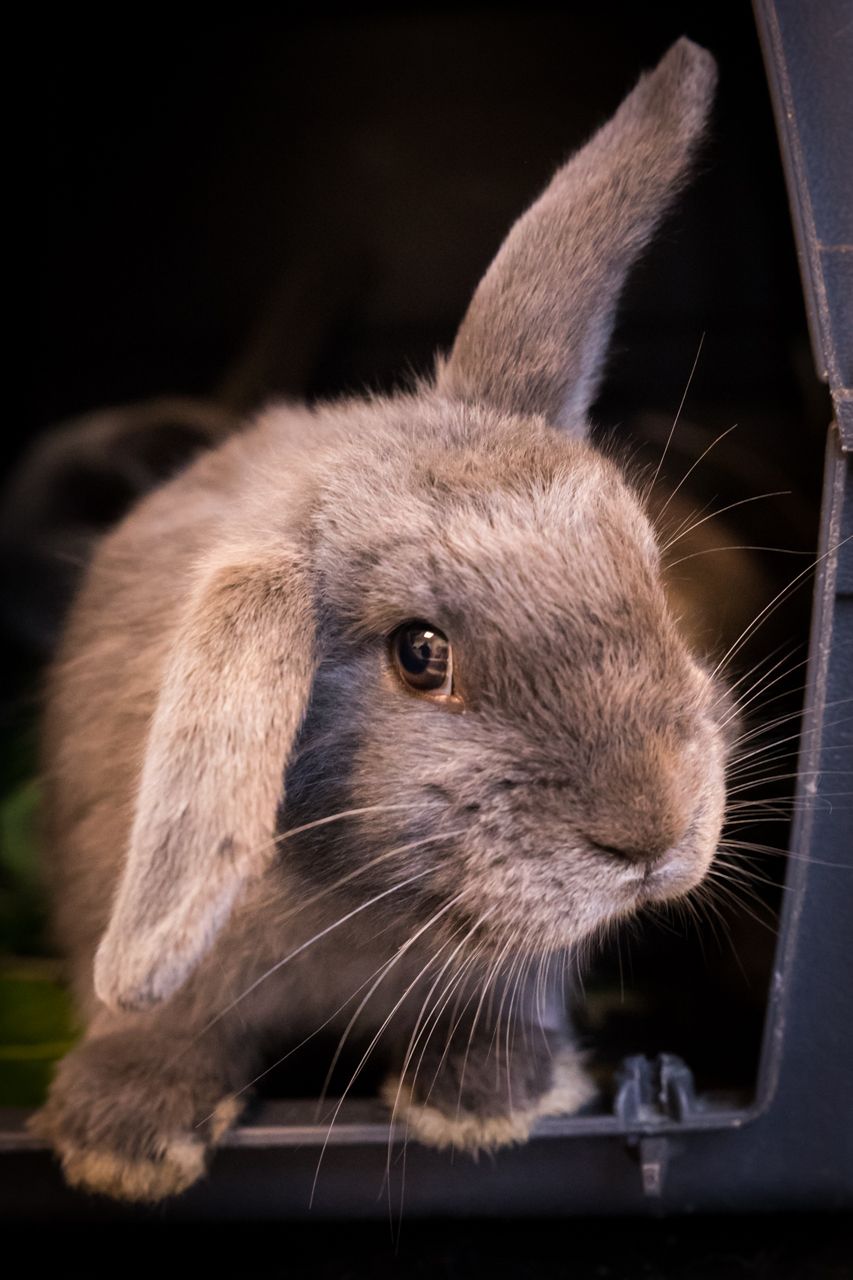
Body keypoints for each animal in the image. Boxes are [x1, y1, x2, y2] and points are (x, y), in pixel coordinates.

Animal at [31, 38, 726, 1202]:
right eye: (419, 652)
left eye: (644, 564)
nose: (654, 832)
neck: (359, 896)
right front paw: (120, 1140)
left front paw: (485, 1098)